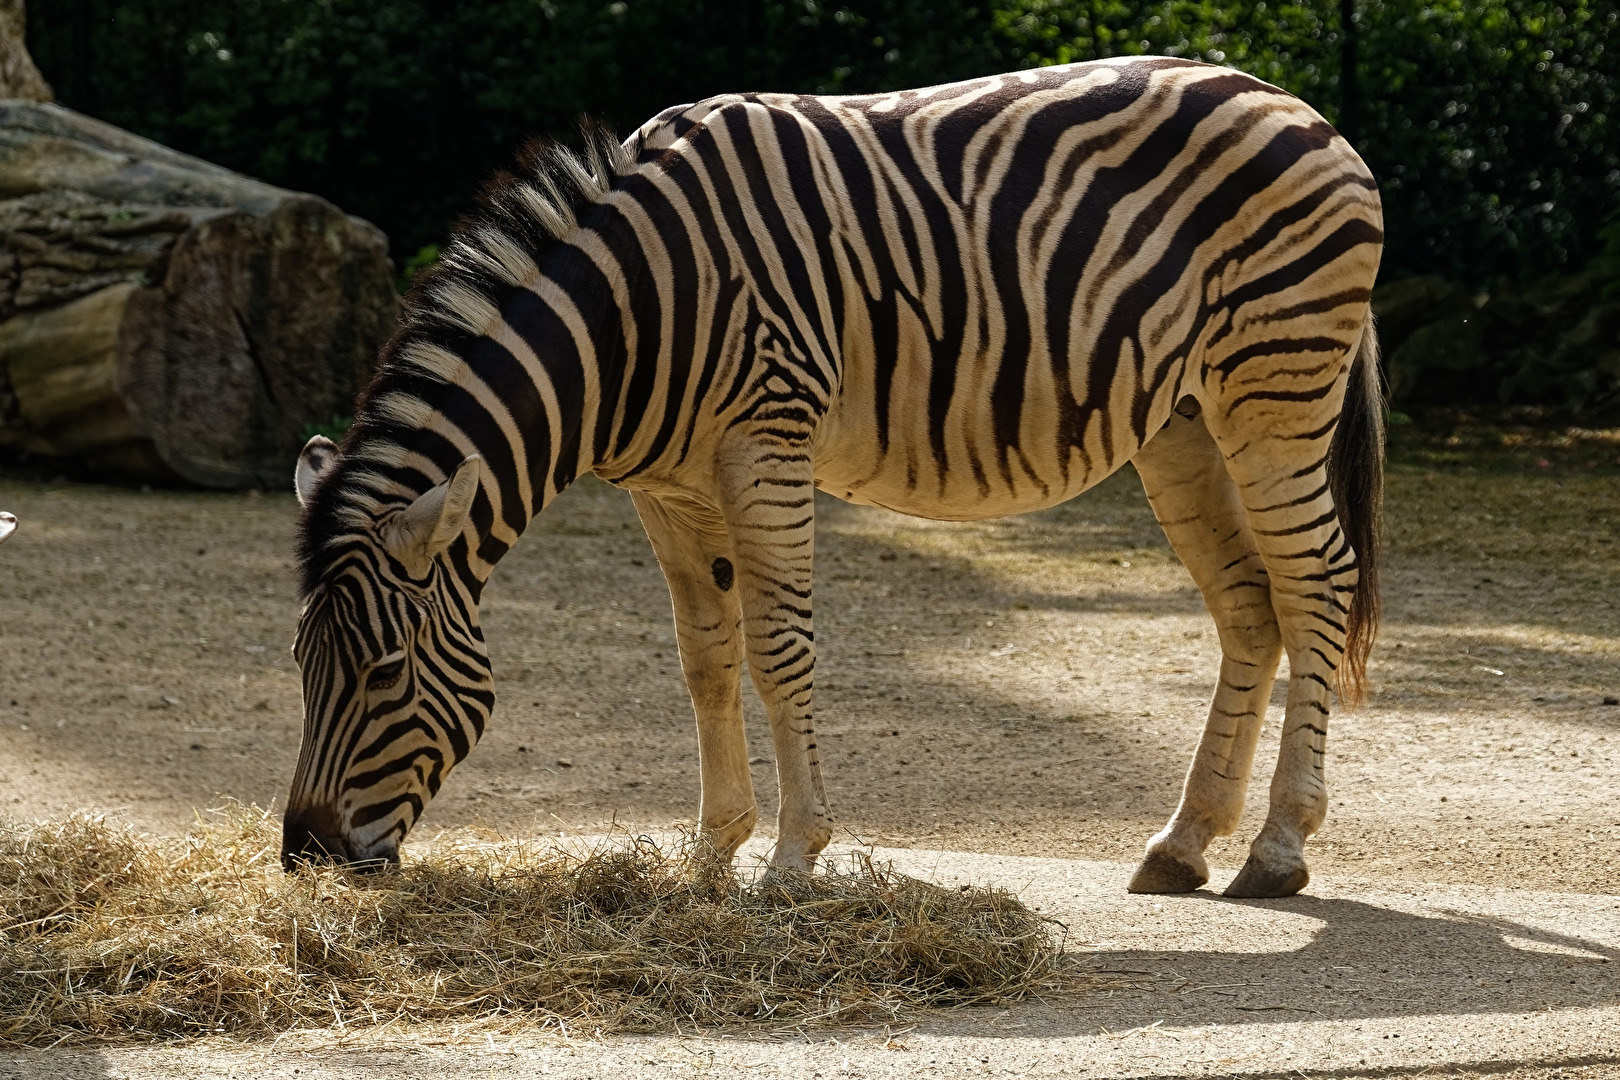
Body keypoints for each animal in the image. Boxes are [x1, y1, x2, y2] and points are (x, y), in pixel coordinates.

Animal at [285, 56, 1384, 900]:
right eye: (302, 665)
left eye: (384, 672)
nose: (304, 857)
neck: (635, 313)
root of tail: (1295, 104)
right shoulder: (667, 488)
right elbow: (705, 659)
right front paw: (707, 859)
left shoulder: (766, 443)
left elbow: (780, 651)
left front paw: (791, 862)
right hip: (1183, 426)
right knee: (1250, 604)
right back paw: (1184, 845)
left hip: (1274, 393)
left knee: (1316, 584)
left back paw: (1278, 850)